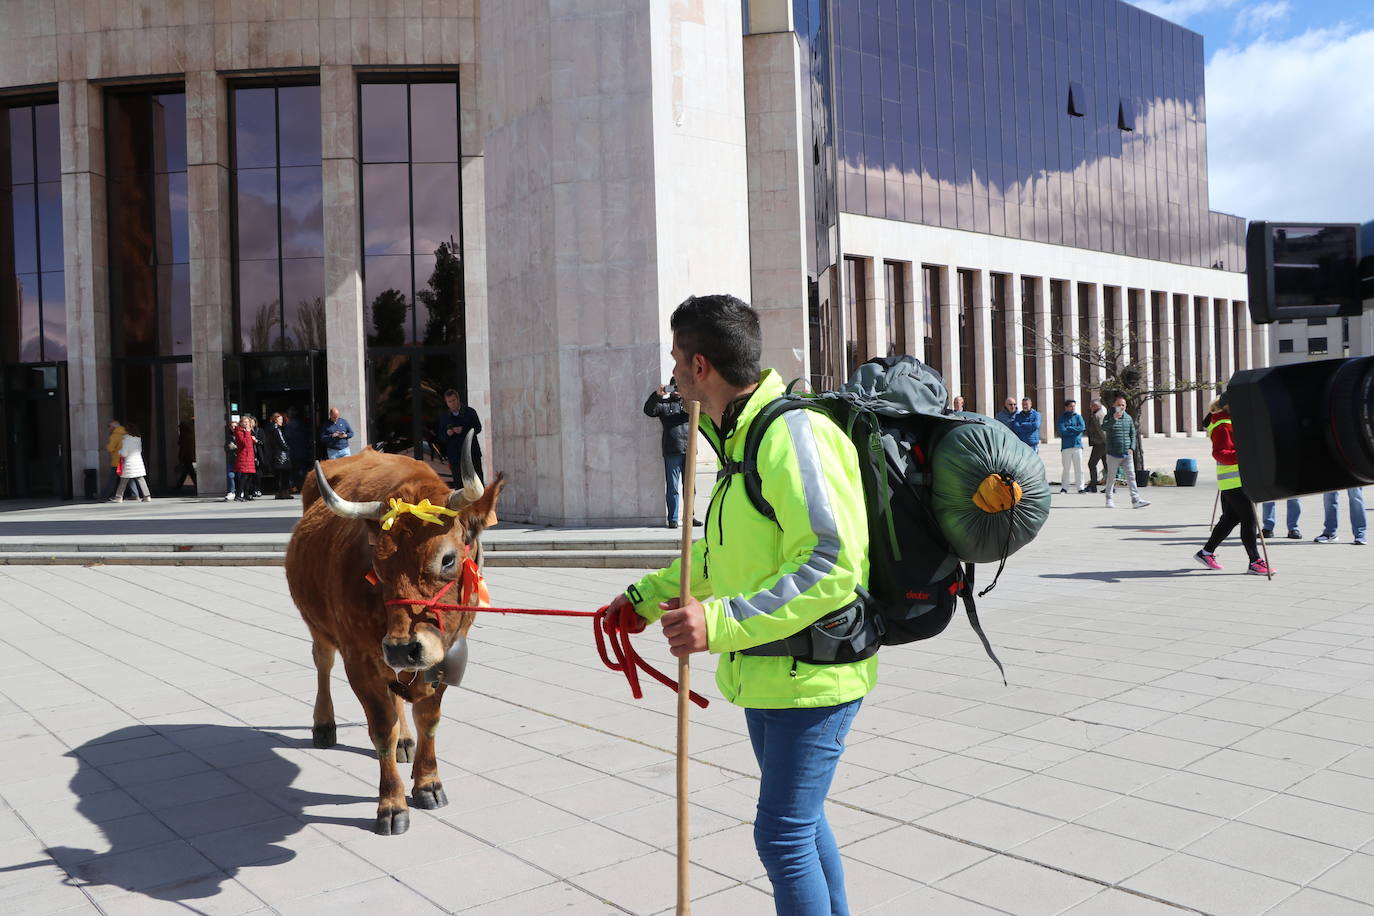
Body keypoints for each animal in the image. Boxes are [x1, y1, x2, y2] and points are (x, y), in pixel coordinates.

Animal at [284, 439, 505, 840]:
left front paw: (428, 783)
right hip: (318, 626)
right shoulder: (360, 661)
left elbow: (427, 718)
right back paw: (324, 725)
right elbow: (381, 727)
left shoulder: (444, 654)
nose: (403, 647)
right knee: (323, 662)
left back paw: (406, 740)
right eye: (377, 564)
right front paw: (392, 804)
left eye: (447, 558)